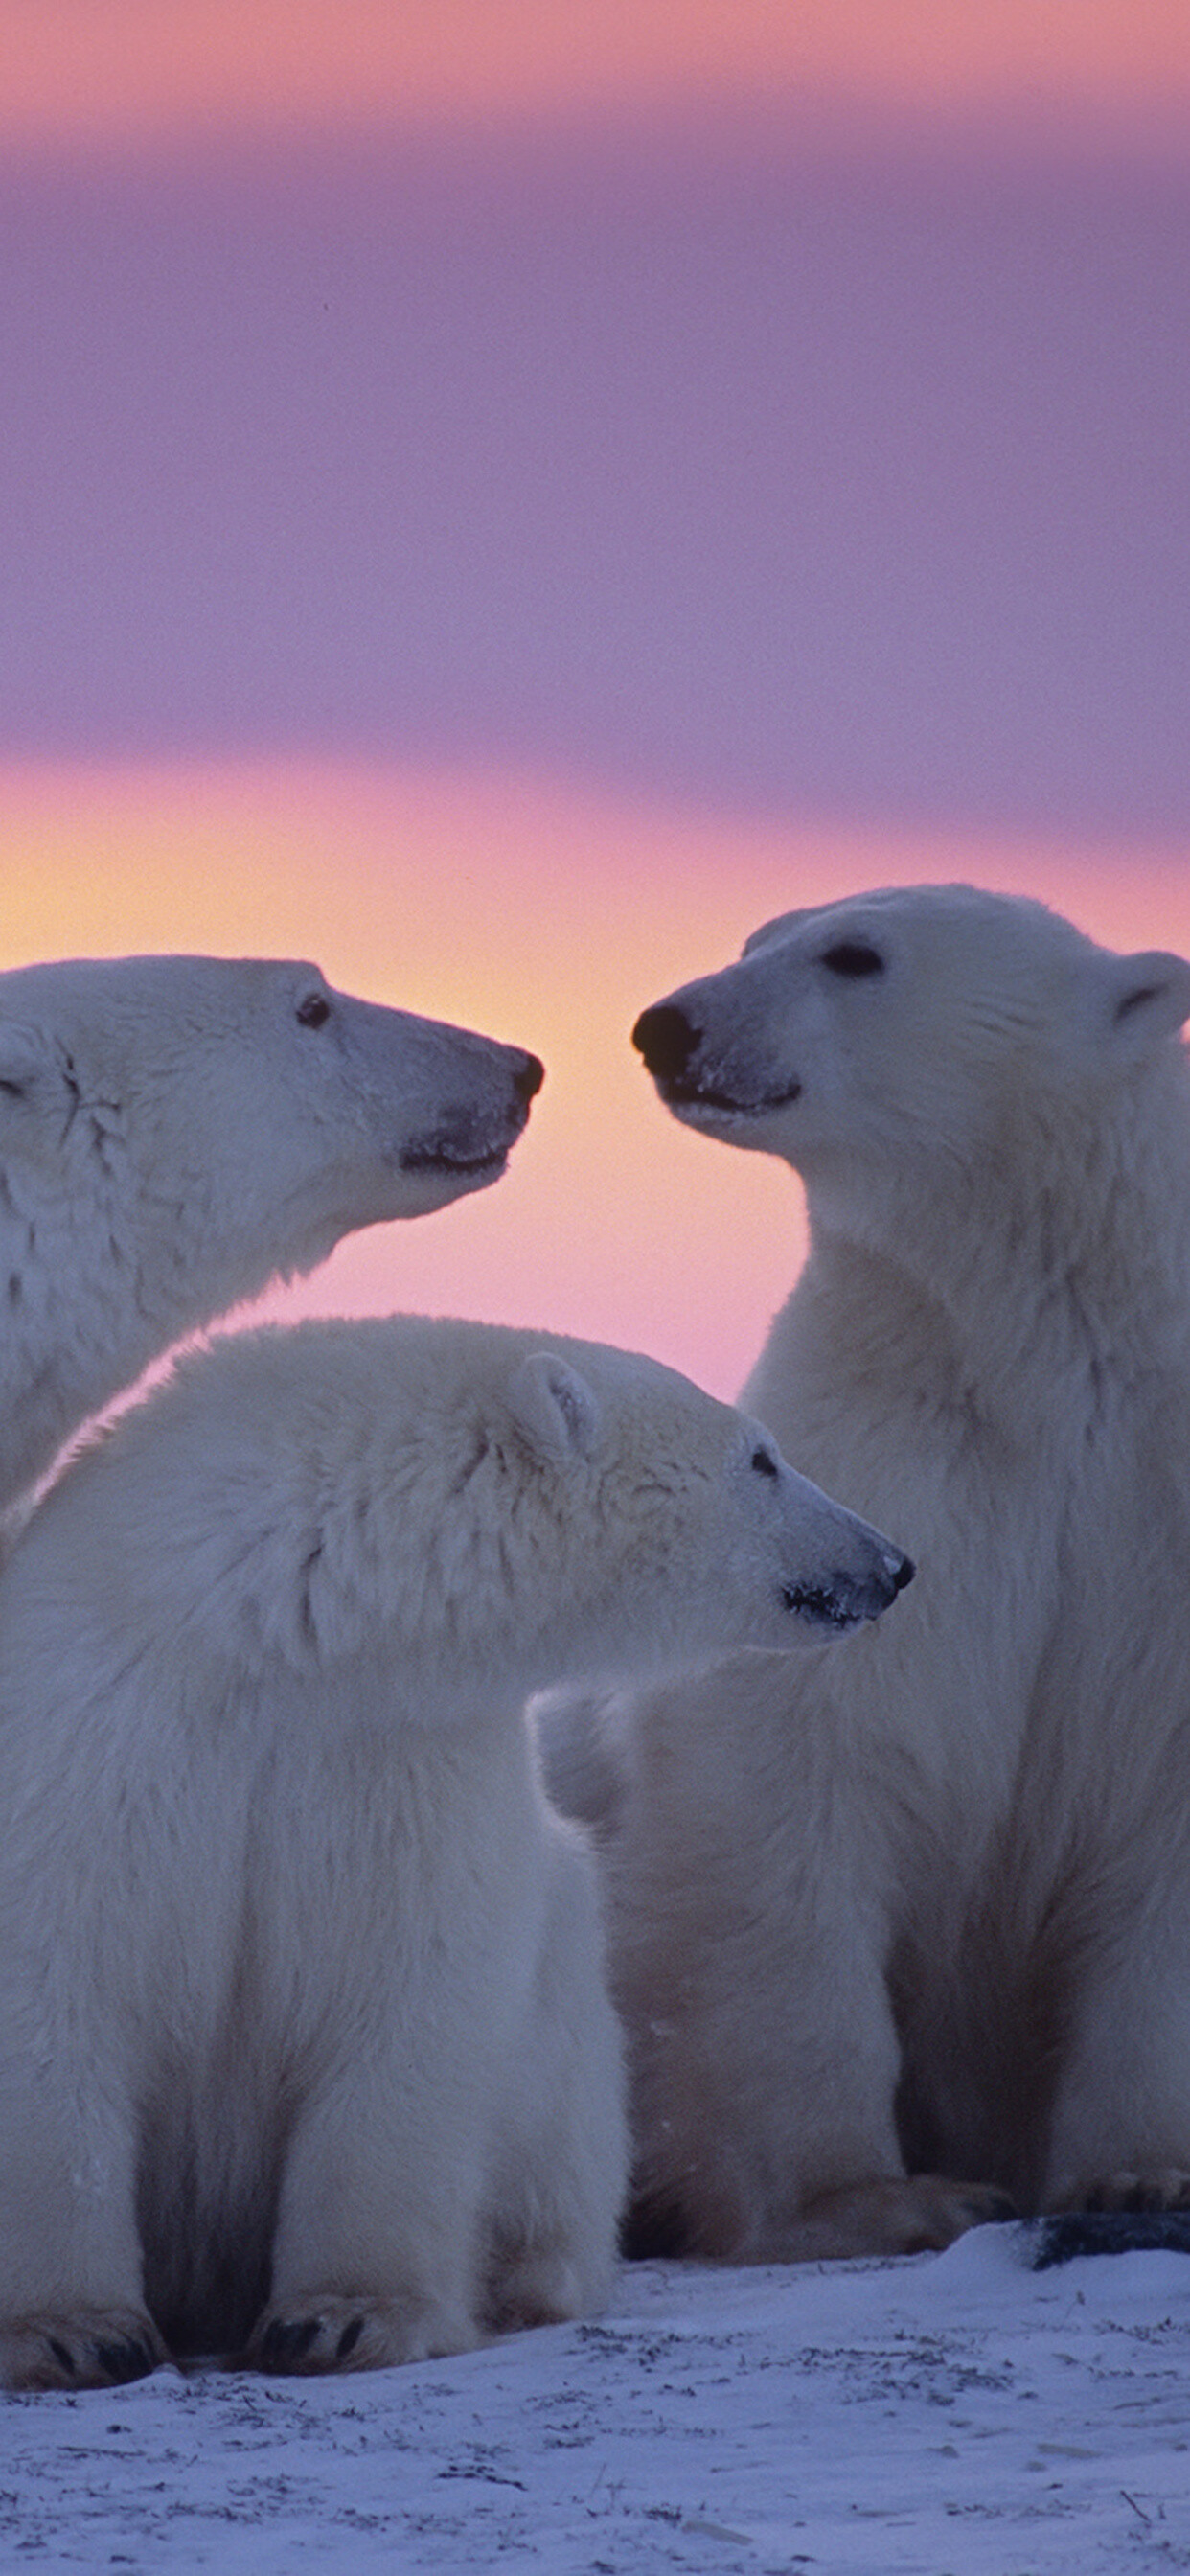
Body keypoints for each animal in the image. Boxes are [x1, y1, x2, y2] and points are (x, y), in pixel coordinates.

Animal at [0, 1308, 906, 2390]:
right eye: (762, 1457)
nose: (891, 1564)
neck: (271, 1628)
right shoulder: (102, 1725)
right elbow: (57, 1986)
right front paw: (72, 2331)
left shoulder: (404, 1755)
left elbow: (411, 1992)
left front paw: (344, 2319)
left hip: (567, 2034)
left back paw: (522, 2275)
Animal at [595, 886, 1190, 2256]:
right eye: (757, 937)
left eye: (855, 955)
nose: (668, 1024)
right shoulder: (892, 1465)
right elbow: (797, 1763)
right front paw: (879, 2196)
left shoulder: (1149, 1508)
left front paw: (1141, 2173)